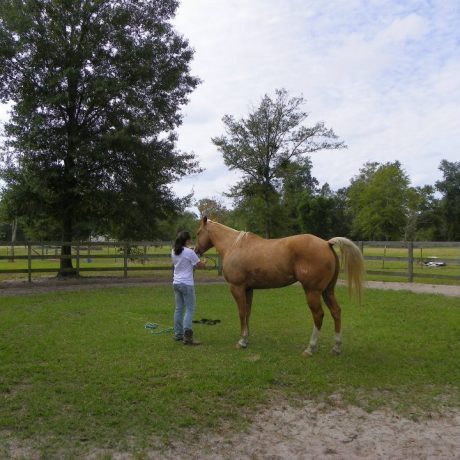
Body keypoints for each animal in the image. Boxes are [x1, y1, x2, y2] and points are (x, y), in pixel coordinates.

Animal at [194, 217, 362, 356]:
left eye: (198, 232)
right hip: (327, 291)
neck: (235, 246)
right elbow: (248, 313)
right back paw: (336, 348)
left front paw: (241, 342)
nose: (196, 251)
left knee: (318, 315)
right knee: (336, 312)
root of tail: (327, 243)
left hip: (312, 292)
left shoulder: (237, 288)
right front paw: (246, 339)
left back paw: (310, 348)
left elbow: (241, 313)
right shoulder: (248, 289)